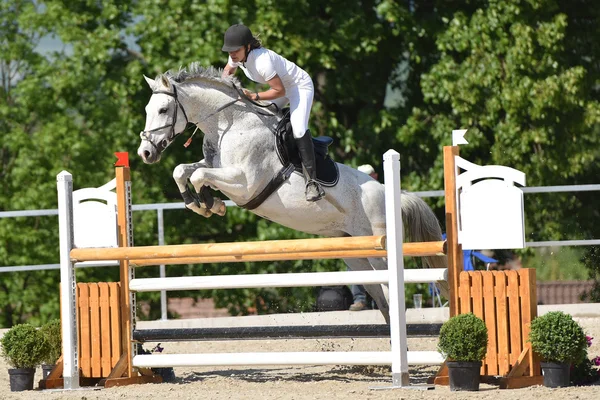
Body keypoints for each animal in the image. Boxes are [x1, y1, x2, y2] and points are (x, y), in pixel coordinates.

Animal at [136, 63, 446, 324]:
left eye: (163, 110)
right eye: (148, 110)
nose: (145, 152)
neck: (232, 123)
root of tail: (390, 193)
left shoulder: (245, 183)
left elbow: (199, 176)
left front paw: (212, 204)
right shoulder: (216, 168)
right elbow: (182, 171)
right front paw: (200, 203)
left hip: (378, 249)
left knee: (391, 292)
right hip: (355, 253)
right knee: (381, 299)